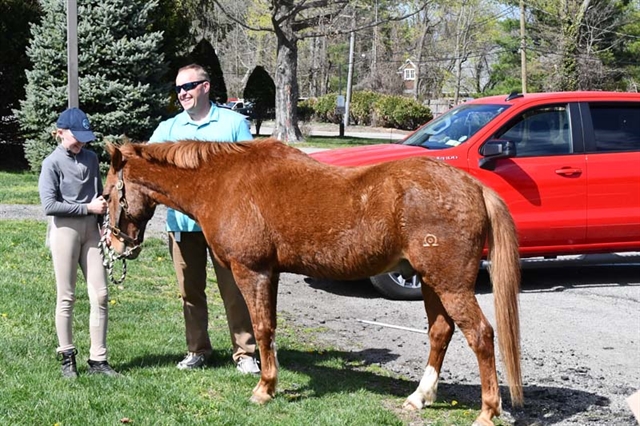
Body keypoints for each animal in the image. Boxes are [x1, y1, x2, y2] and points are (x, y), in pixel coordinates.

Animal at [105, 138, 524, 424]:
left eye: (109, 192)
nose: (116, 244)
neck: (222, 181)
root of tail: (474, 187)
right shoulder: (270, 273)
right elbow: (270, 328)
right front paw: (270, 382)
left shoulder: (252, 271)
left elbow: (260, 328)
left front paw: (264, 389)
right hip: (429, 281)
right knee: (440, 332)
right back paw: (419, 397)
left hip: (450, 284)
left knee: (481, 335)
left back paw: (487, 412)